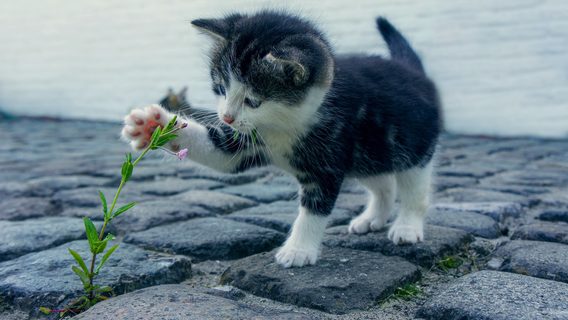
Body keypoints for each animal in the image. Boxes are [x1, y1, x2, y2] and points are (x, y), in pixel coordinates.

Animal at [122, 10, 442, 268]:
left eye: (253, 100)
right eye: (221, 88)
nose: (226, 117)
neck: (283, 124)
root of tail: (413, 71)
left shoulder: (328, 158)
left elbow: (314, 208)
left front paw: (298, 250)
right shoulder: (246, 141)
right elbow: (220, 153)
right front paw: (153, 125)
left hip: (412, 146)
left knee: (414, 188)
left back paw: (407, 226)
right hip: (368, 154)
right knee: (383, 183)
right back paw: (372, 218)